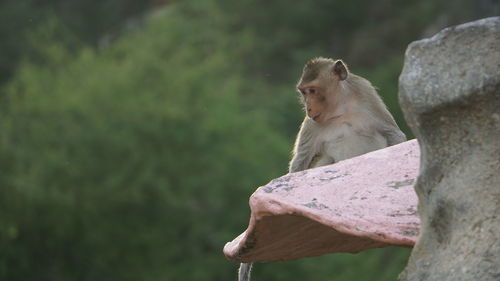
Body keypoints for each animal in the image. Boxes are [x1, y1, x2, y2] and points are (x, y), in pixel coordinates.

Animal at [236, 57, 404, 280]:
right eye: (304, 92)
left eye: (313, 91)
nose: (308, 107)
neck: (340, 109)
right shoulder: (312, 124)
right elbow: (300, 163)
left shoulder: (367, 95)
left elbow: (394, 135)